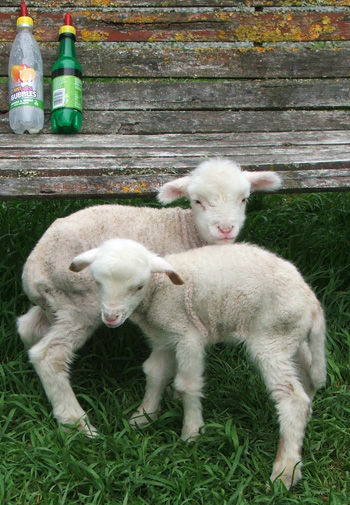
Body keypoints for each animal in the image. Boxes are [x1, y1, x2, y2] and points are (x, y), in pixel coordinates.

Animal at [17, 158, 282, 434]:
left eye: (244, 199)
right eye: (197, 200)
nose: (225, 229)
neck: (186, 231)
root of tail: (33, 270)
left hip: (58, 302)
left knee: (28, 329)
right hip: (82, 304)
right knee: (49, 356)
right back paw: (77, 423)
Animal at [71, 237, 328, 488]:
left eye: (138, 286)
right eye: (98, 283)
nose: (111, 318)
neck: (159, 290)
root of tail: (313, 304)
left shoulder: (188, 335)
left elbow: (187, 384)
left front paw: (192, 432)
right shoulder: (164, 337)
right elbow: (155, 373)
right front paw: (143, 416)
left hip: (271, 340)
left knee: (292, 400)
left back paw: (285, 472)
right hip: (288, 339)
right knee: (307, 376)